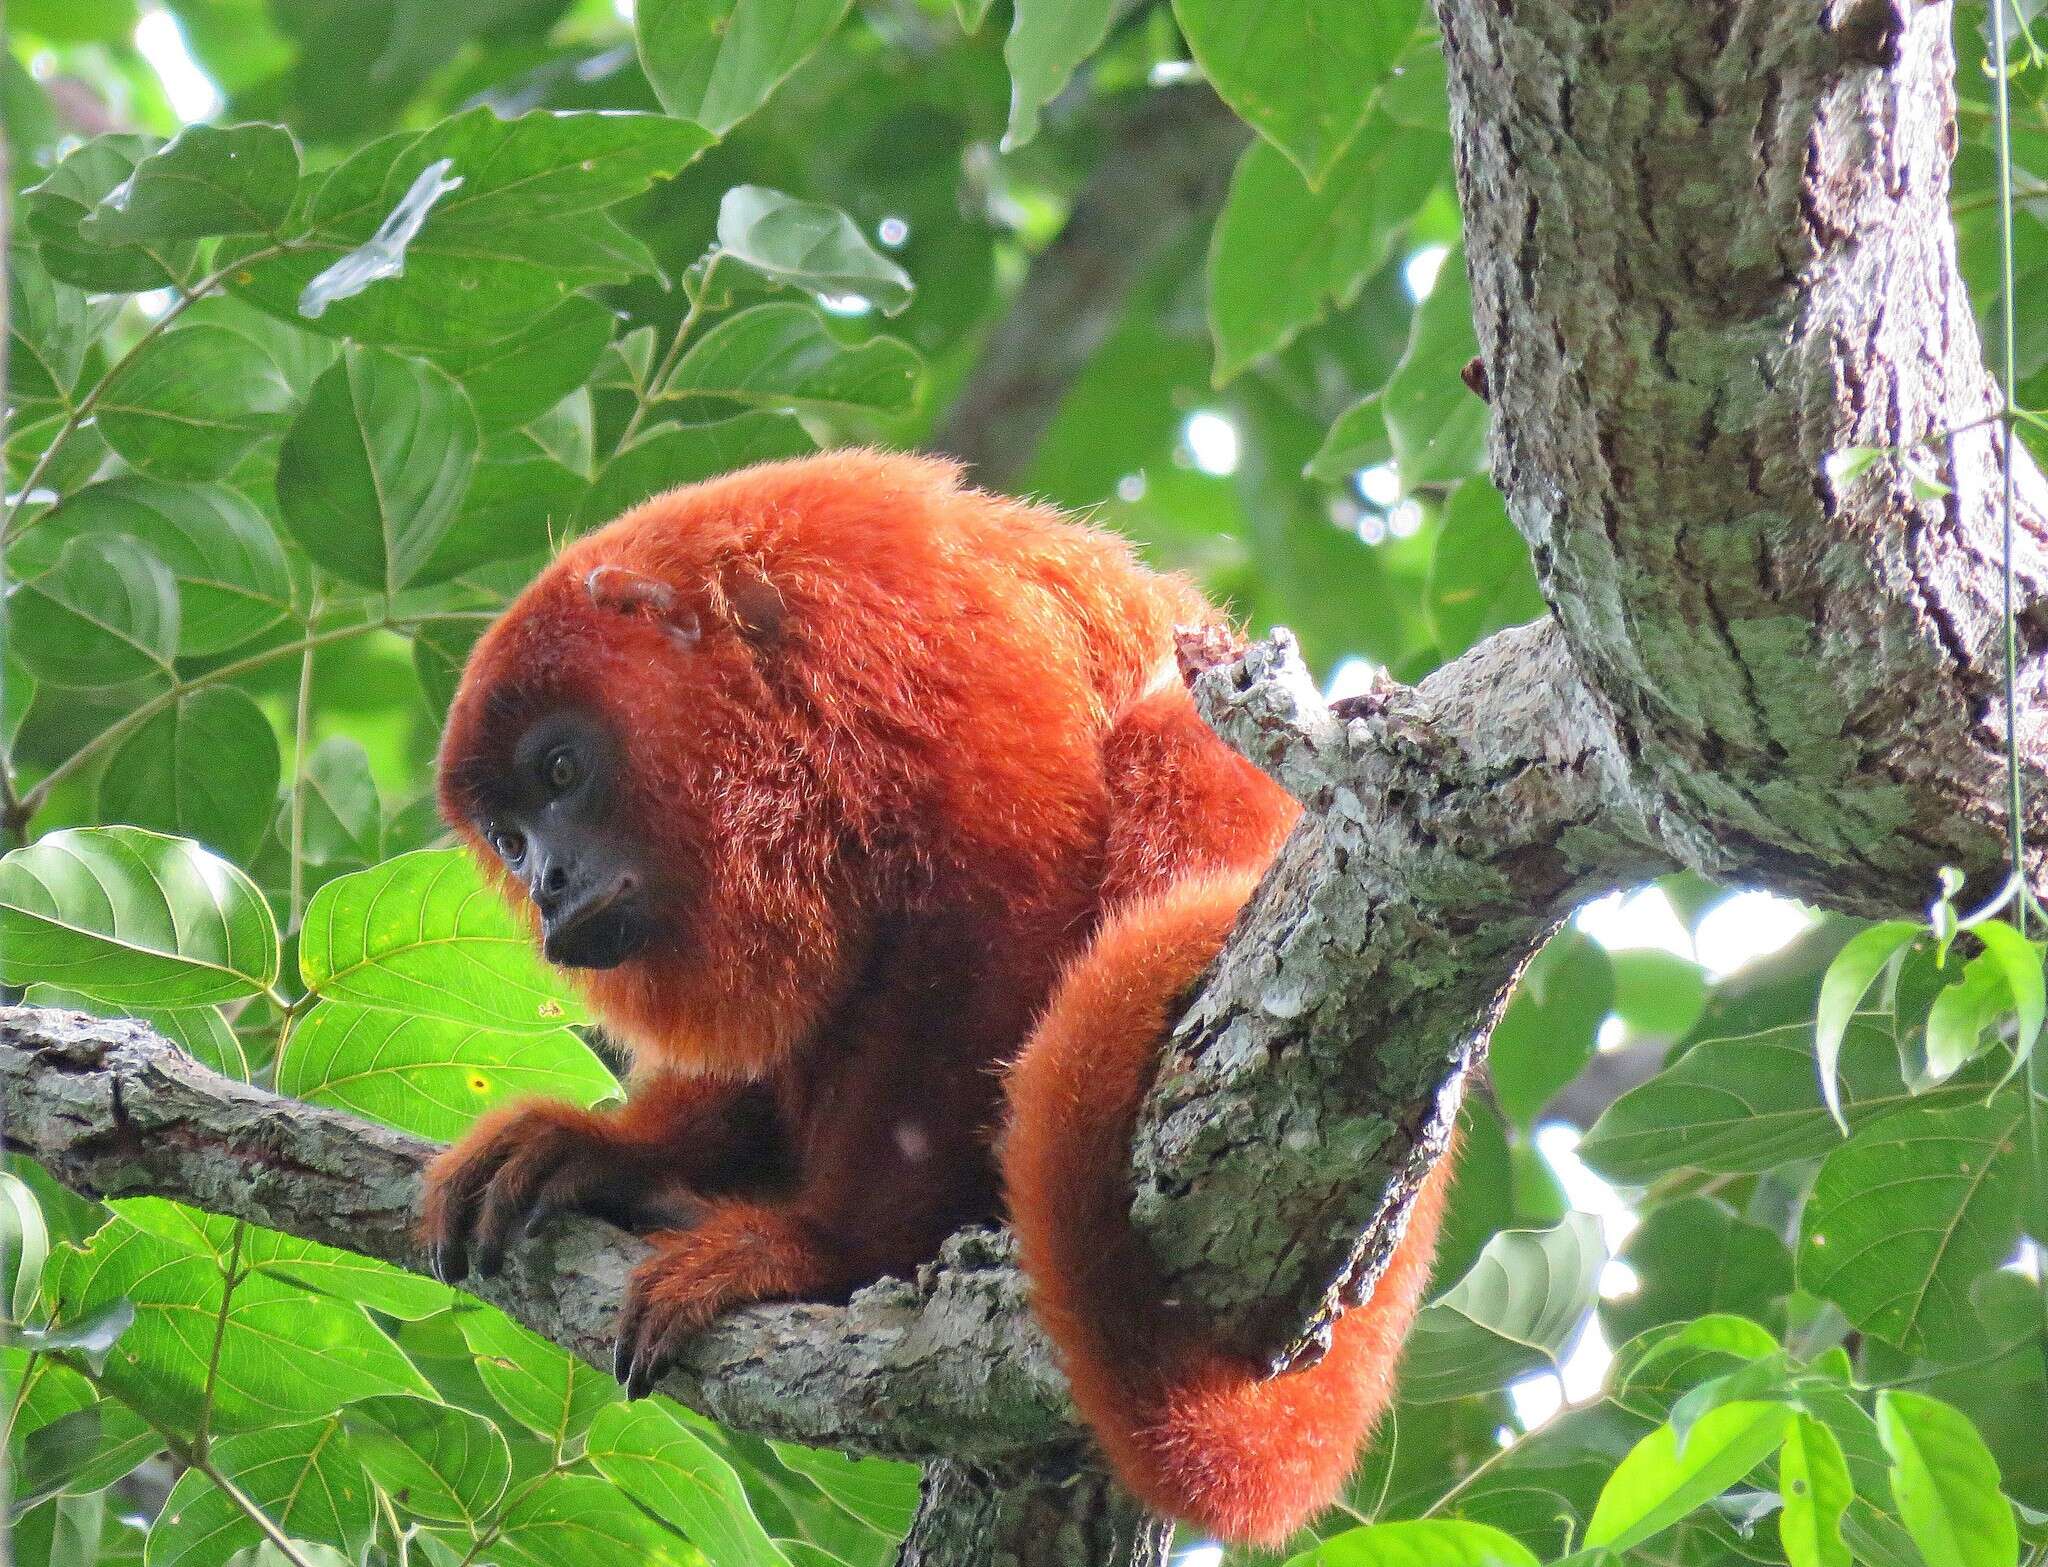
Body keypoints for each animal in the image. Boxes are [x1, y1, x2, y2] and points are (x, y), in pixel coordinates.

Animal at [419, 448, 1458, 1540]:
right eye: (509, 837)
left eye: (561, 768)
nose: (547, 882)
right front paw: (613, 1152)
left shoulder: (910, 630)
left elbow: (1003, 901)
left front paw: (820, 1249)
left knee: (1173, 736)